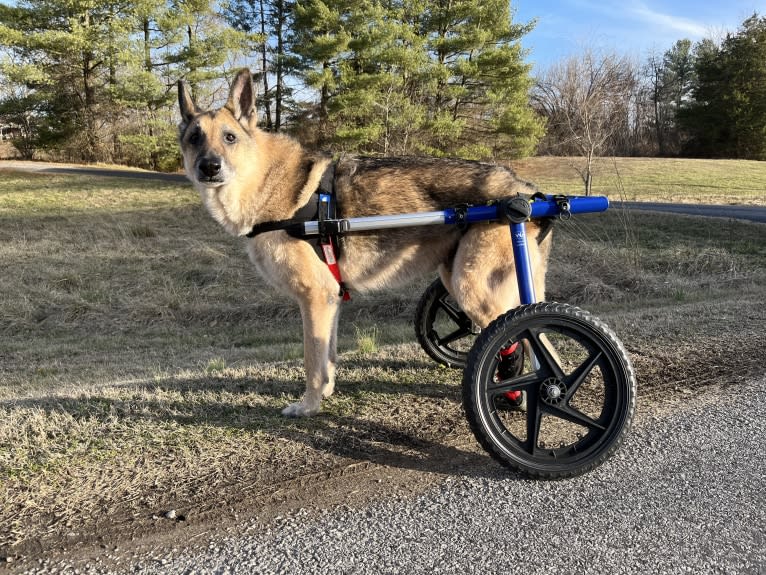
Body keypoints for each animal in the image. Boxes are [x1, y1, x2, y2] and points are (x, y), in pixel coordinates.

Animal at [179, 70, 552, 416]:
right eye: (194, 138)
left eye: (229, 138)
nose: (209, 167)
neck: (265, 180)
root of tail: (527, 192)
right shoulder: (330, 300)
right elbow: (327, 357)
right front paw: (326, 393)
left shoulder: (314, 298)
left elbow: (312, 362)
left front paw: (309, 406)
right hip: (462, 283)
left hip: (474, 290)